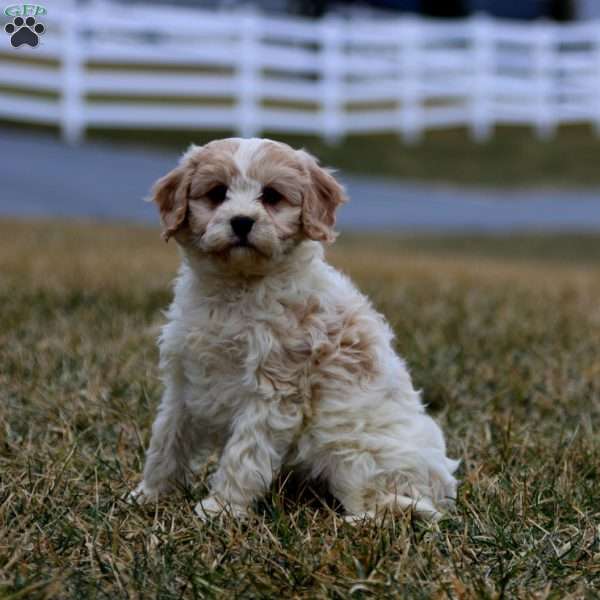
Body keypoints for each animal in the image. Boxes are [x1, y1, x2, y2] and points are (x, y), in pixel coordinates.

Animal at [132, 137, 460, 520]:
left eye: (272, 196)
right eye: (217, 193)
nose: (241, 222)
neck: (237, 288)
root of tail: (442, 489)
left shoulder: (272, 391)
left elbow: (244, 455)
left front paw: (220, 509)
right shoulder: (184, 380)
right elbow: (166, 441)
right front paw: (149, 495)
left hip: (355, 457)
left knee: (390, 508)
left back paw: (351, 522)